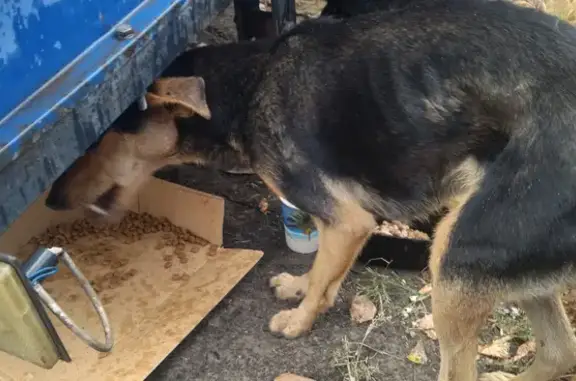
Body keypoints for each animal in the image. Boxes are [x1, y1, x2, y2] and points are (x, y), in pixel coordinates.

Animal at [46, 1, 576, 378]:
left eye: (95, 142)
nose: (49, 200)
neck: (250, 82)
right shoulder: (345, 224)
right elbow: (323, 266)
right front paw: (300, 287)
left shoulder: (348, 219)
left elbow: (324, 276)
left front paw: (300, 320)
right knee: (559, 351)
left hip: (458, 254)